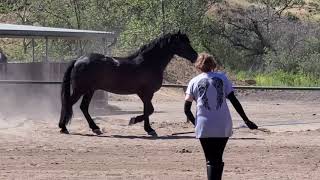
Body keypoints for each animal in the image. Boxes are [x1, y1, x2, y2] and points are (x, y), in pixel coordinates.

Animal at [58, 32, 198, 136]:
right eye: (182, 43)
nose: (195, 56)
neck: (149, 63)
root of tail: (78, 60)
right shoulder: (146, 93)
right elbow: (149, 110)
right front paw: (145, 127)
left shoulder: (144, 94)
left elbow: (148, 110)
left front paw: (139, 123)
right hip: (80, 89)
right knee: (68, 103)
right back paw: (63, 127)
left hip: (89, 90)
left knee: (83, 107)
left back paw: (95, 128)